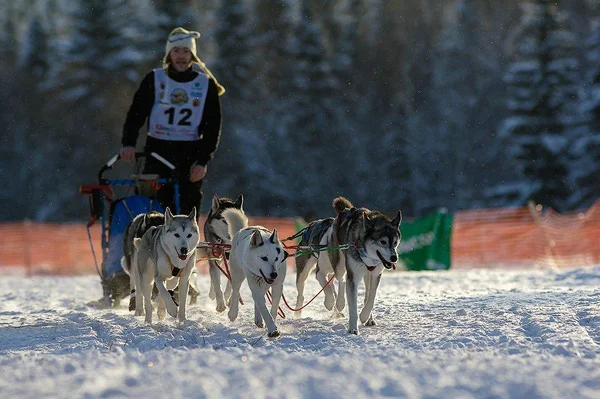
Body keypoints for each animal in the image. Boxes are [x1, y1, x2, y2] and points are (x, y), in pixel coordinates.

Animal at [225, 208, 290, 340]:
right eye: (264, 258)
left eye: (276, 258)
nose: (274, 274)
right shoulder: (254, 284)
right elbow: (263, 307)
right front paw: (273, 329)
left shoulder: (277, 285)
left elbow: (273, 307)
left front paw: (271, 323)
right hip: (238, 273)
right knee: (236, 291)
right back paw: (233, 313)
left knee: (258, 297)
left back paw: (258, 320)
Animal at [326, 198, 400, 336]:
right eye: (383, 242)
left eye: (395, 242)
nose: (394, 258)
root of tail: (346, 209)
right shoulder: (353, 277)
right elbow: (353, 306)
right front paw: (353, 328)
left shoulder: (376, 274)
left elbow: (371, 297)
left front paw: (364, 316)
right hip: (340, 266)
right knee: (341, 280)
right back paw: (339, 303)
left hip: (367, 275)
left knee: (367, 292)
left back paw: (369, 318)